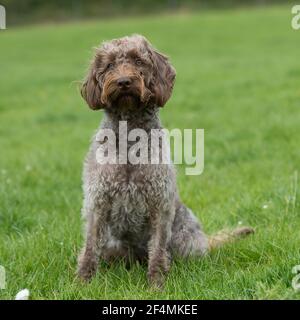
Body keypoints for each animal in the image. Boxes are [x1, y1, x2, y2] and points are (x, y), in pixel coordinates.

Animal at [77, 35, 253, 288]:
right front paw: (83, 281)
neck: (130, 137)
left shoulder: (159, 203)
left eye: (138, 60)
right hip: (113, 245)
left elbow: (159, 249)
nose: (123, 81)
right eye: (109, 65)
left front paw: (156, 283)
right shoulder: (97, 202)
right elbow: (90, 246)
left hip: (186, 240)